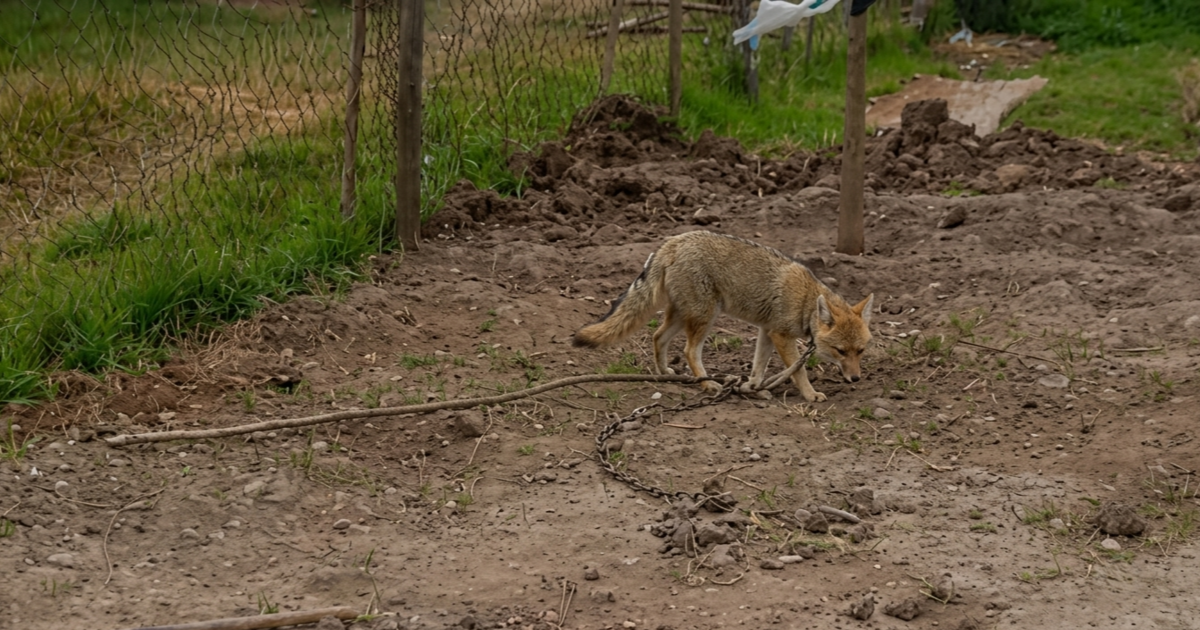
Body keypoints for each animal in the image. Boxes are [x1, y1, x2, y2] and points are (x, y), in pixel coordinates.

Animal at [572, 230, 874, 402]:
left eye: (860, 351)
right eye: (840, 351)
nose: (856, 379)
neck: (806, 302)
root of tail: (673, 241)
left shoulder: (767, 332)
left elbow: (758, 367)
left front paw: (754, 388)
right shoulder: (781, 335)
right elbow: (798, 371)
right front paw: (810, 395)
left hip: (684, 315)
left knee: (658, 337)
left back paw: (664, 373)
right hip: (706, 316)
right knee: (689, 350)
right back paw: (707, 384)